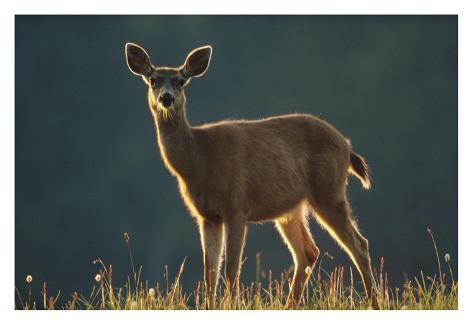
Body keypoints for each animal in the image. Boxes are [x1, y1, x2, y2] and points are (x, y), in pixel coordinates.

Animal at [125, 43, 380, 308]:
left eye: (182, 81)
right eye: (153, 80)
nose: (166, 98)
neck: (199, 159)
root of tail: (347, 146)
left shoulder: (236, 207)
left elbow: (231, 269)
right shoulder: (207, 216)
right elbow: (210, 273)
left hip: (328, 191)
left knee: (359, 245)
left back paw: (374, 302)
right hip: (291, 209)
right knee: (308, 252)